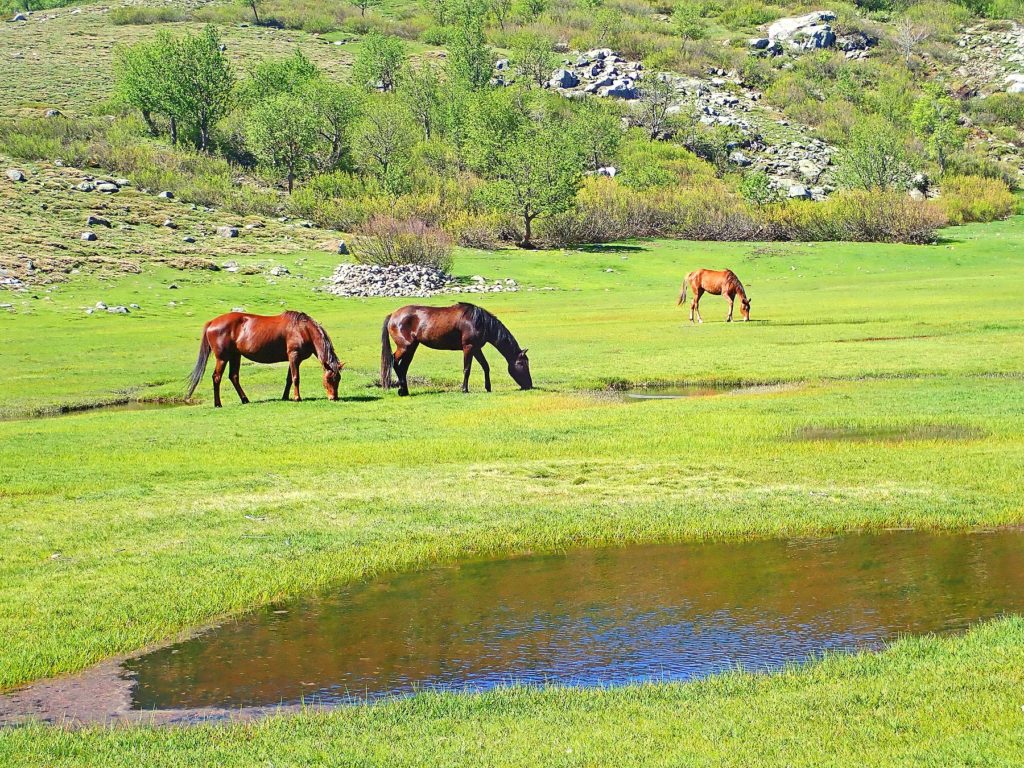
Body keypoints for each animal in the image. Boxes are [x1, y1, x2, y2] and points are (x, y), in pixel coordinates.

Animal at [185, 311, 344, 409]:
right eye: (329, 379)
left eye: (338, 379)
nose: (334, 398)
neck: (303, 329)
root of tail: (212, 322)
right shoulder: (294, 356)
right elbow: (295, 378)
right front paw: (297, 398)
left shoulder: (292, 359)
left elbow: (288, 379)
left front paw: (285, 397)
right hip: (222, 358)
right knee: (217, 377)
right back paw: (218, 404)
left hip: (235, 356)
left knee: (234, 377)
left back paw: (245, 399)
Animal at [380, 303, 532, 397]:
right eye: (522, 364)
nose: (529, 385)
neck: (479, 321)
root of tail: (393, 315)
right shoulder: (468, 347)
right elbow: (467, 369)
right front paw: (464, 389)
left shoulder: (476, 349)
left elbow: (485, 366)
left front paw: (488, 387)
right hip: (405, 347)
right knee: (394, 362)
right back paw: (401, 390)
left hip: (412, 348)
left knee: (403, 367)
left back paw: (405, 390)